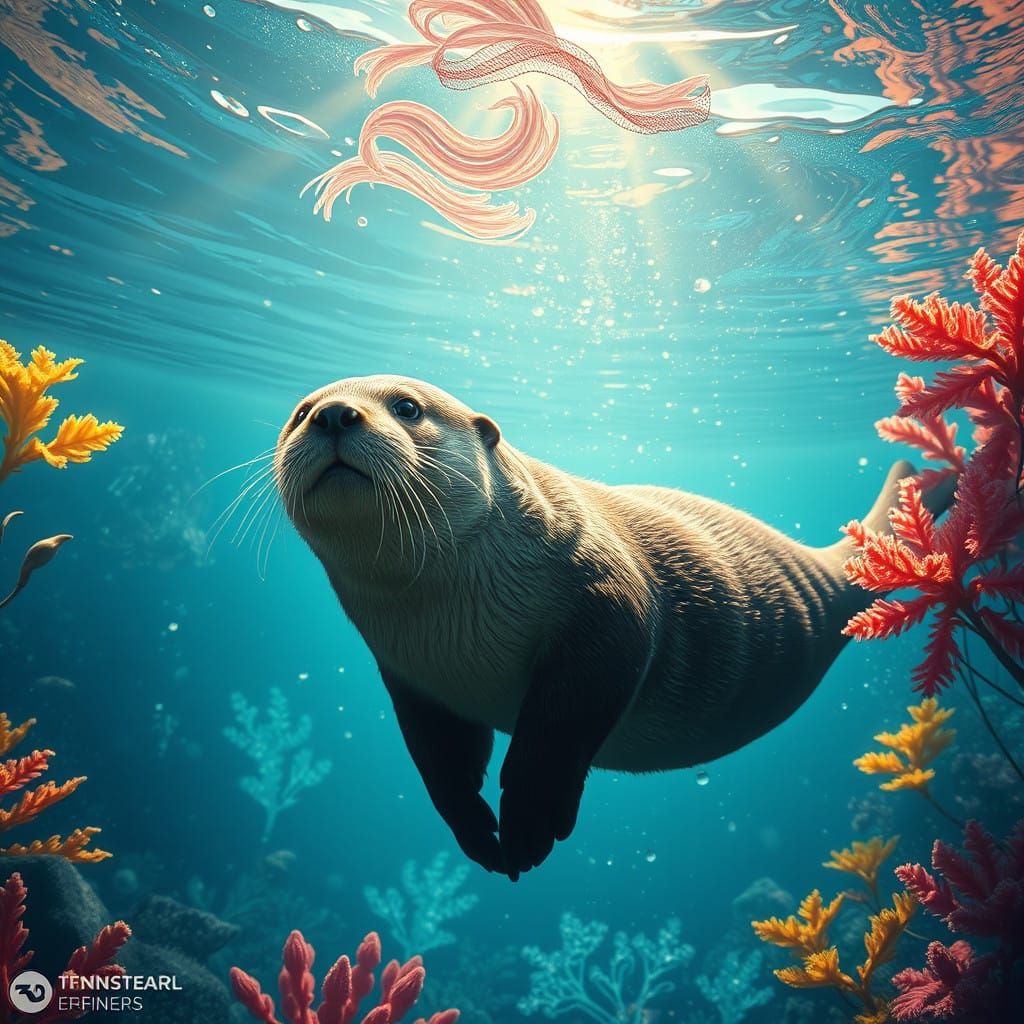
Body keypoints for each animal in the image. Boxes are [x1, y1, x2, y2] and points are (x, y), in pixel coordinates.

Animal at [275, 375, 950, 879]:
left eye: (407, 407)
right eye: (299, 413)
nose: (333, 414)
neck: (453, 626)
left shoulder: (606, 603)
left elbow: (559, 730)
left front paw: (529, 822)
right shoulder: (412, 677)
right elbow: (440, 766)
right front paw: (479, 836)